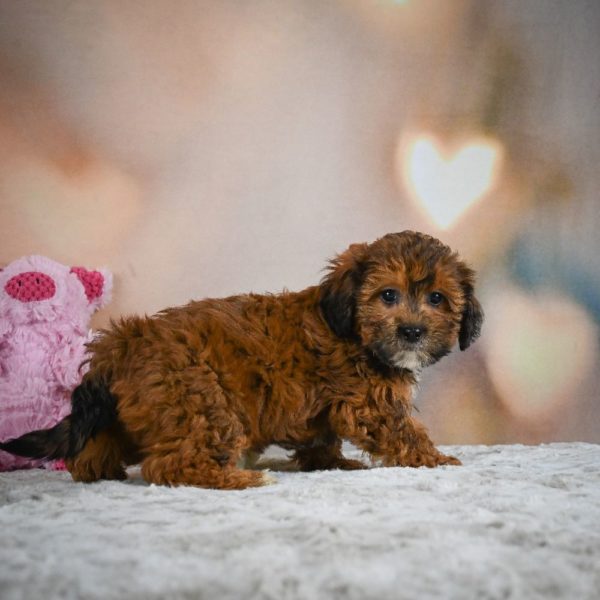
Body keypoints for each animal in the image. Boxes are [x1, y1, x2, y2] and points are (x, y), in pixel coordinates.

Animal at [1, 230, 482, 488]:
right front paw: (436, 459)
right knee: (170, 464)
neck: (354, 331)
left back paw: (101, 471)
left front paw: (330, 462)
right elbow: (402, 431)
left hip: (138, 407)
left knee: (96, 449)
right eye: (388, 296)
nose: (412, 332)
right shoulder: (369, 402)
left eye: (437, 299)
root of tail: (126, 338)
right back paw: (239, 479)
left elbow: (322, 437)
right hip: (198, 400)